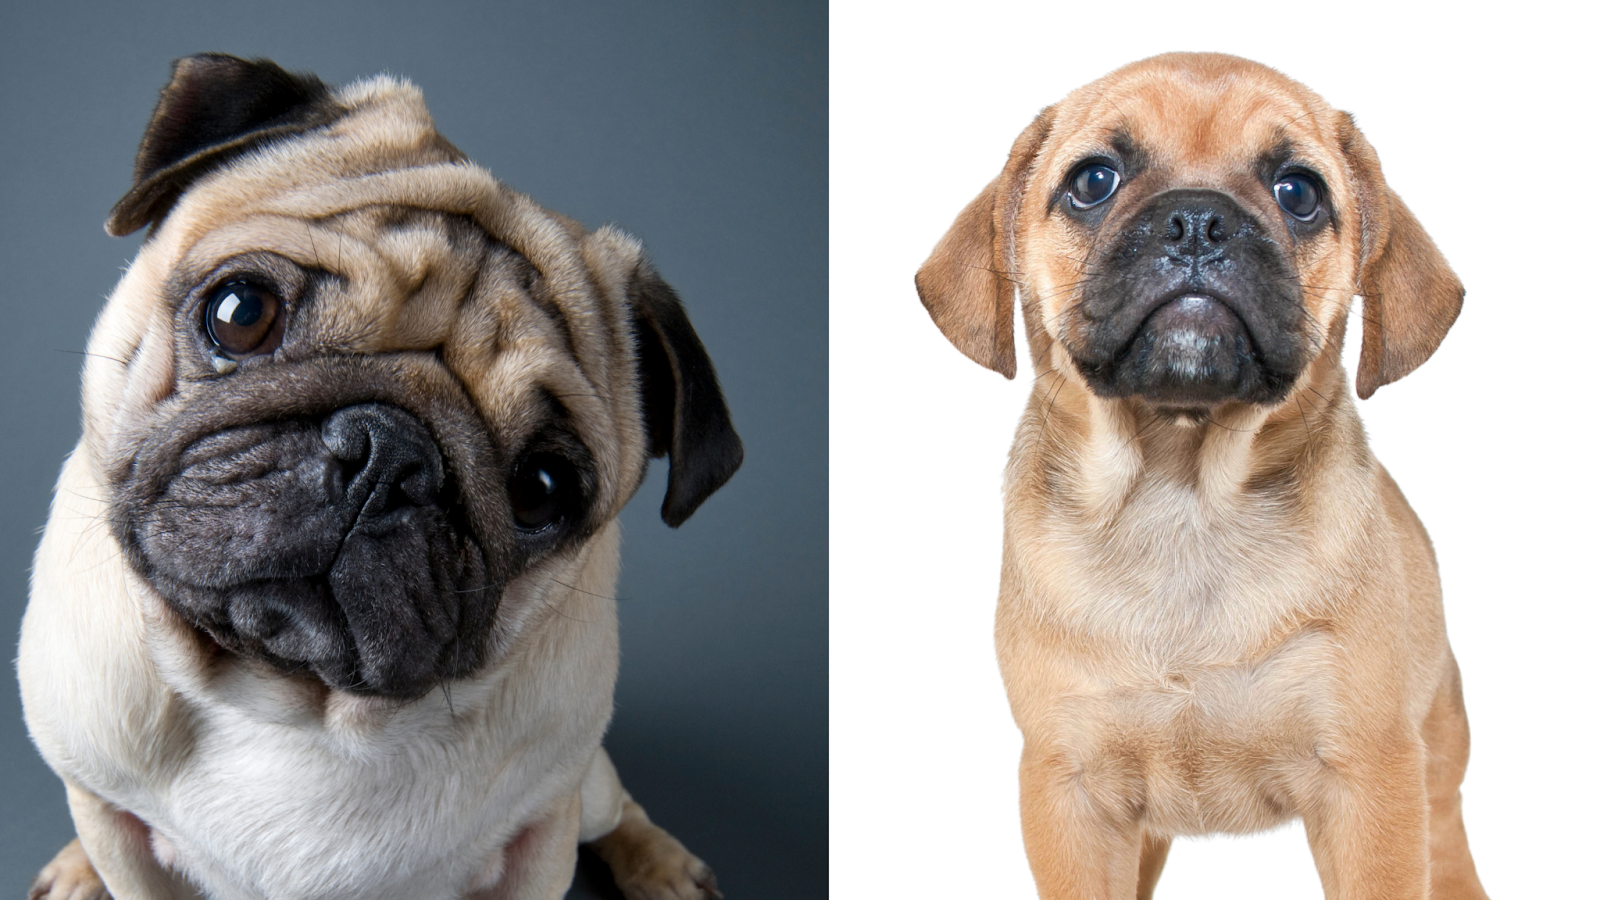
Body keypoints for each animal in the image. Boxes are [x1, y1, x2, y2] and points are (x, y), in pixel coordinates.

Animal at [20, 54, 742, 896]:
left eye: (543, 489)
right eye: (240, 312)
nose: (386, 454)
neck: (294, 709)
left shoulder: (540, 837)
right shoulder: (114, 816)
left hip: (581, 790)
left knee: (615, 801)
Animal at [921, 52, 1491, 890]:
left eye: (1299, 192)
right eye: (1094, 181)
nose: (1196, 221)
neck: (1184, 493)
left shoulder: (1370, 787)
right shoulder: (1070, 792)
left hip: (1437, 791)